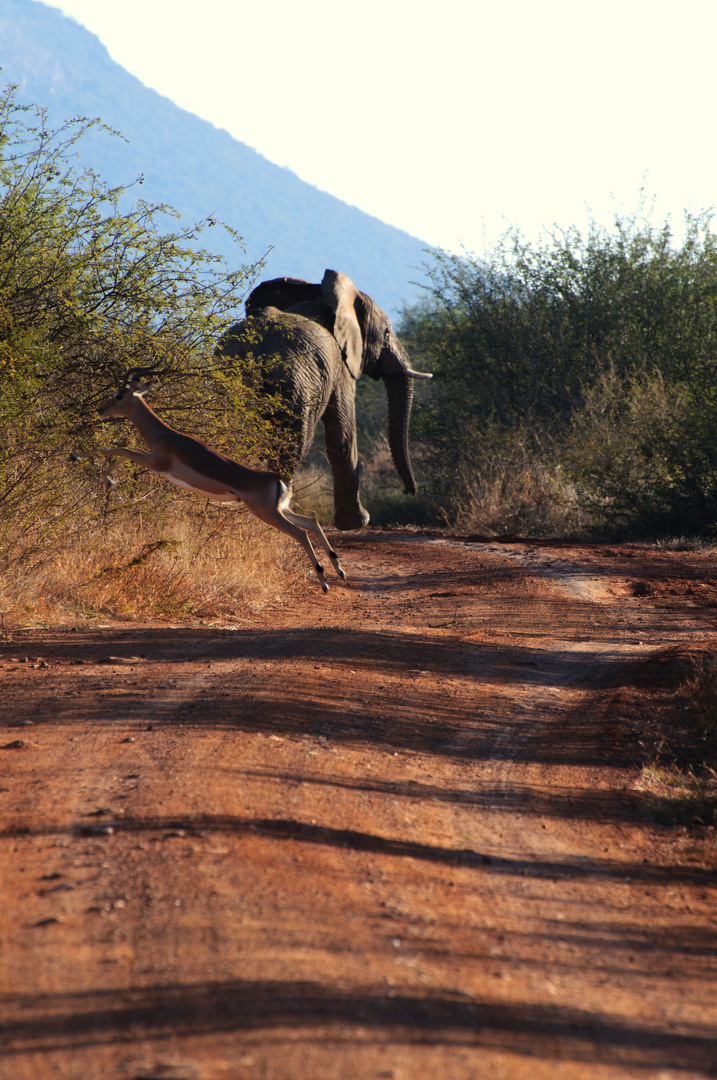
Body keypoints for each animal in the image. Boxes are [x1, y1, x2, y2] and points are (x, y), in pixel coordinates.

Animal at [215, 265, 431, 527]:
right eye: (387, 334)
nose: (410, 491)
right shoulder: (341, 365)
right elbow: (342, 434)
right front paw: (358, 523)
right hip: (294, 387)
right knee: (292, 446)